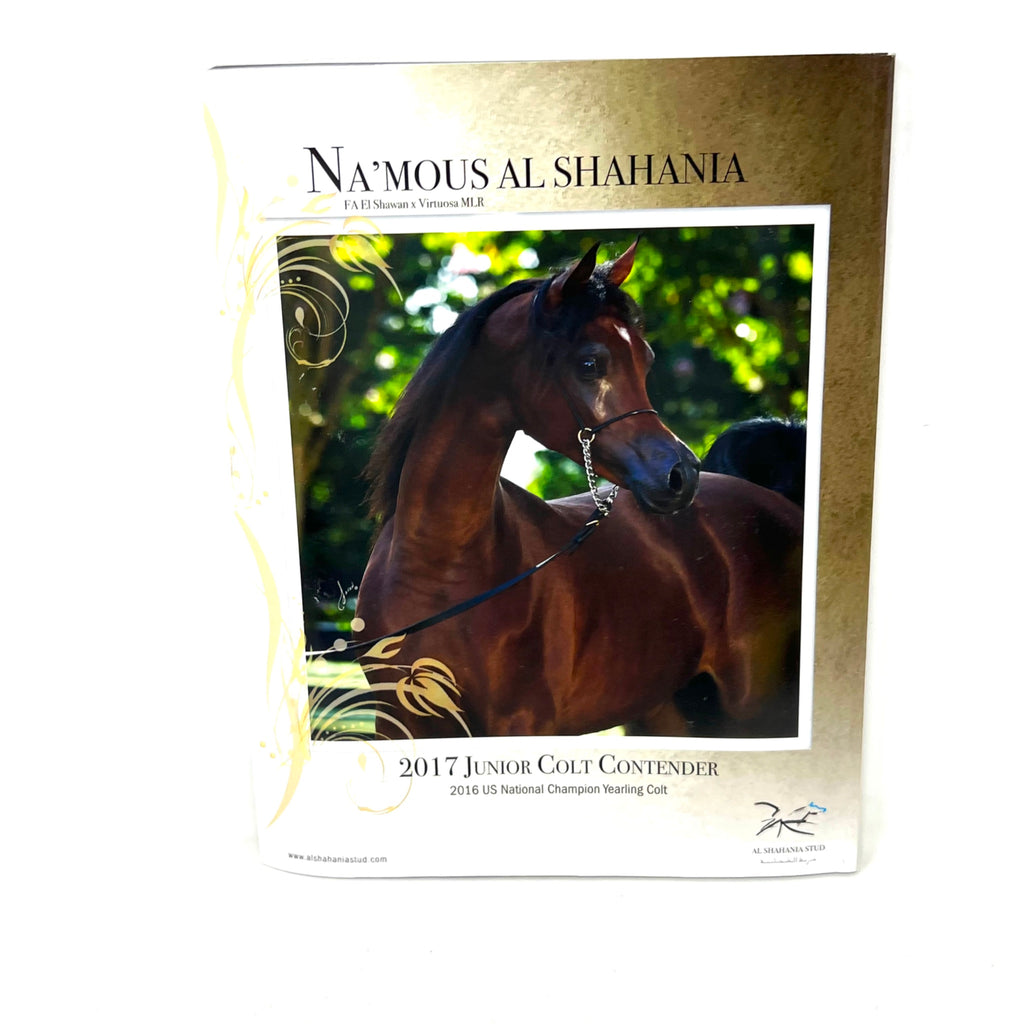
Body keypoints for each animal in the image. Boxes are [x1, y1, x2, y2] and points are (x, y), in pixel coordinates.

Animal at [354, 241, 803, 739]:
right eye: (590, 364)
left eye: (646, 359)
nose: (681, 473)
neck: (439, 569)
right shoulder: (397, 723)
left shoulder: (521, 725)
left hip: (758, 711)